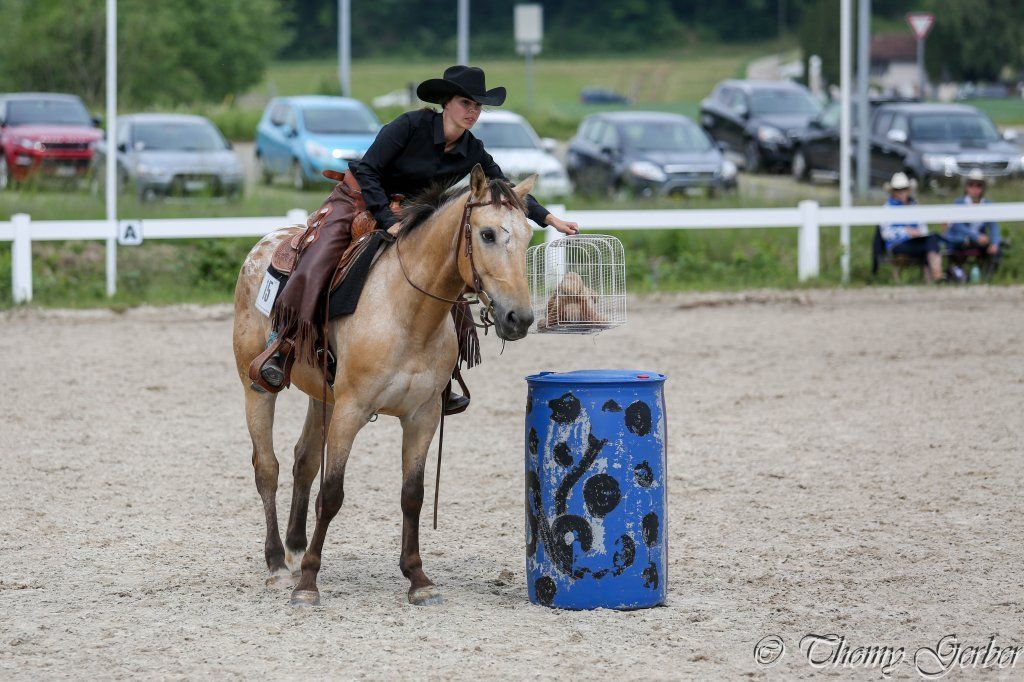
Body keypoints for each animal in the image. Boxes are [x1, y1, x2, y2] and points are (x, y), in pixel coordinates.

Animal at [231, 165, 537, 606]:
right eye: (487, 234)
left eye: (529, 235)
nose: (520, 318)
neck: (407, 311)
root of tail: (263, 246)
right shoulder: (351, 410)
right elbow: (332, 493)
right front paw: (308, 584)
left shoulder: (422, 416)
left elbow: (412, 495)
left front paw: (418, 578)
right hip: (256, 387)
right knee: (267, 468)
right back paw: (277, 564)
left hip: (321, 397)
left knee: (304, 462)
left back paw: (295, 549)